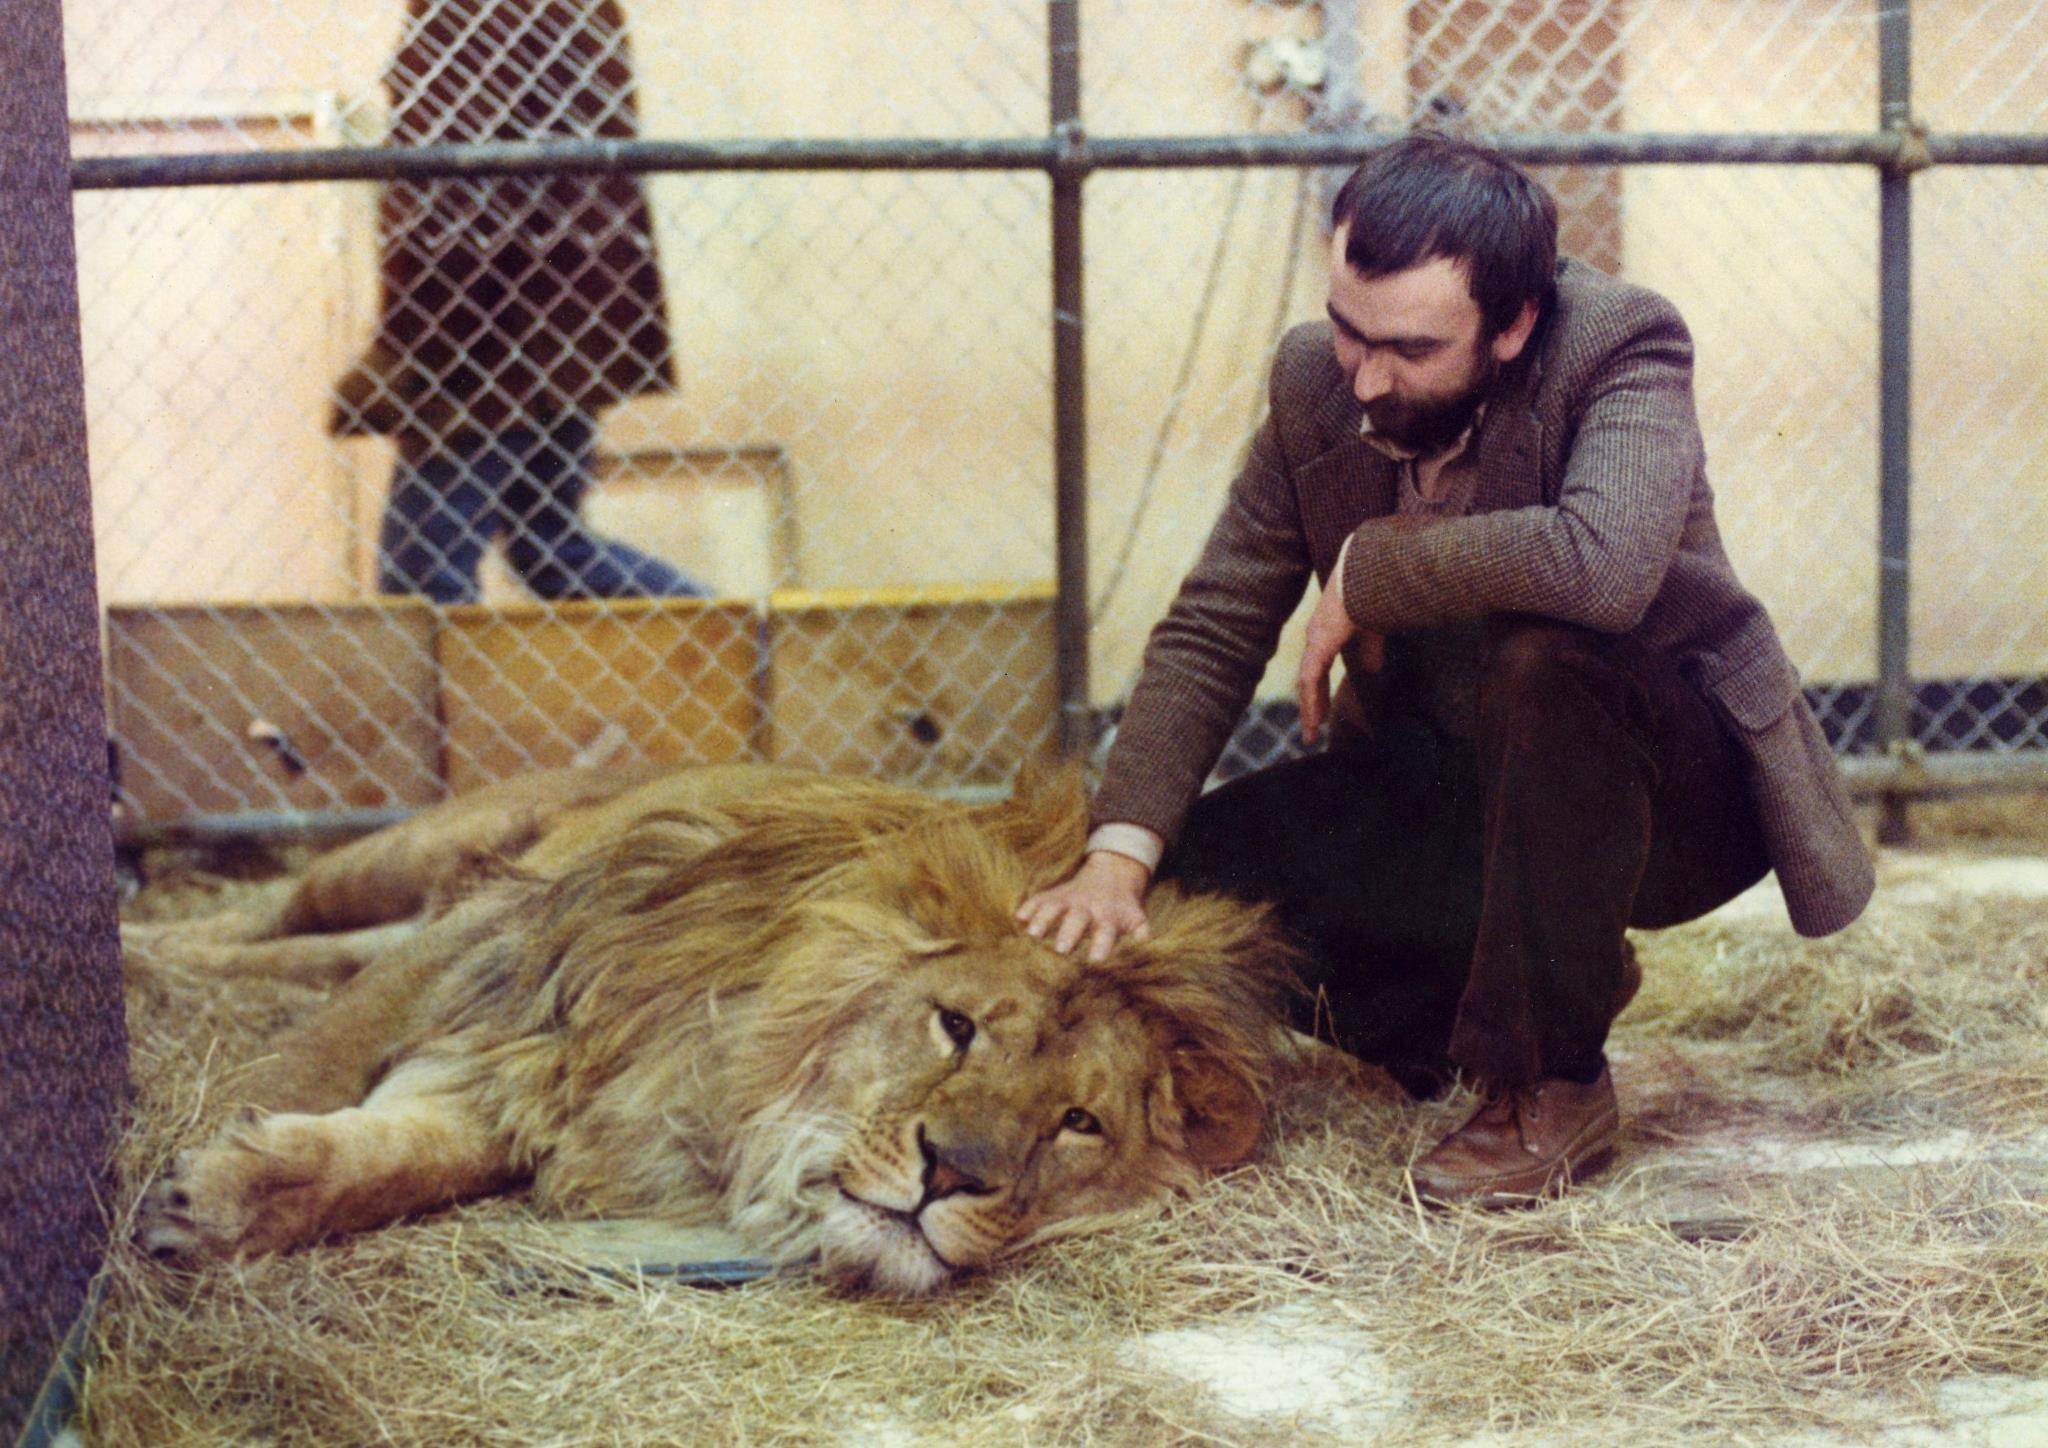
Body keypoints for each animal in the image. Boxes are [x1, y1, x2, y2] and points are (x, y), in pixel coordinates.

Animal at [132, 765, 1294, 1294]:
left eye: (1077, 1123)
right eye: (956, 1025)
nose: (950, 1176)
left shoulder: (555, 1081)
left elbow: (402, 1155)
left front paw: (228, 1199)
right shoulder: (502, 947)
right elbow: (309, 1061)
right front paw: (185, 1155)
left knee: (310, 953)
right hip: (404, 859)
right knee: (269, 919)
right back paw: (146, 945)